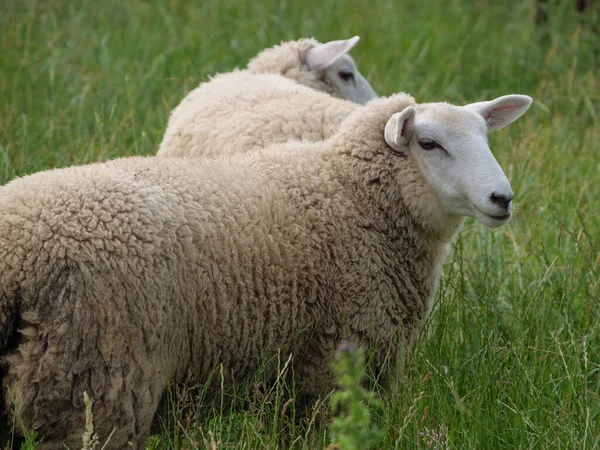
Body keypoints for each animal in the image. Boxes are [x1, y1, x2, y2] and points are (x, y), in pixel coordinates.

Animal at [1, 93, 536, 448]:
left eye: (485, 137)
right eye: (429, 143)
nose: (502, 199)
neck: (352, 194)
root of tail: (16, 257)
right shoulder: (332, 364)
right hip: (96, 382)